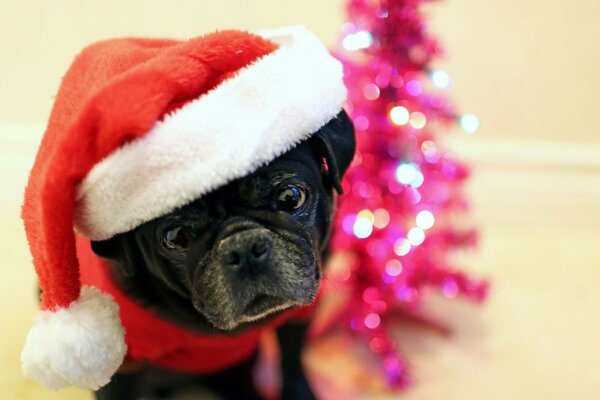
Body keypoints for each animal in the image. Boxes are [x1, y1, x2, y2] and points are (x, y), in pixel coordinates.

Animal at [86, 110, 354, 400]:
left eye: (290, 197)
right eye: (176, 237)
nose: (243, 247)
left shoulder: (296, 319)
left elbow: (292, 367)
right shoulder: (122, 366)